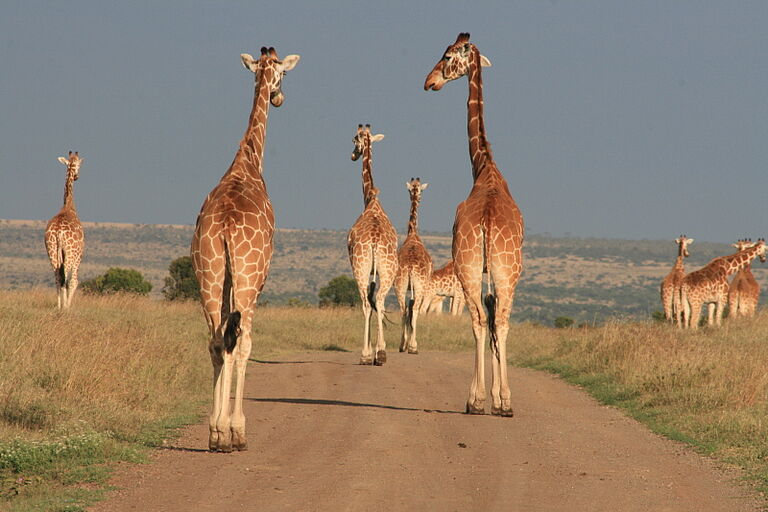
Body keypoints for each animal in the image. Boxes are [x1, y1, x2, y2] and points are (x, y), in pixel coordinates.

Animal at [44, 150, 84, 310]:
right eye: (79, 164)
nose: (77, 176)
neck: (68, 206)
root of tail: (58, 233)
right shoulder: (79, 254)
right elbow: (74, 281)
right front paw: (68, 307)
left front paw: (62, 306)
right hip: (70, 253)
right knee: (68, 279)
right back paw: (65, 307)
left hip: (52, 251)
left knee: (57, 277)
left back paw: (59, 306)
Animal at [189, 46, 300, 450]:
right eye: (284, 74)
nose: (279, 98)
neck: (248, 161)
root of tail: (224, 226)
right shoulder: (256, 281)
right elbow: (242, 344)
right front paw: (232, 429)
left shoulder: (222, 281)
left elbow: (222, 339)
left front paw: (218, 428)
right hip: (249, 280)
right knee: (243, 342)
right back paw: (236, 432)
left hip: (208, 276)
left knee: (216, 341)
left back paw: (214, 432)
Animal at [424, 32, 524, 416]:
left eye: (448, 55)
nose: (429, 81)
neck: (484, 168)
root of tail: (488, 220)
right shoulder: (491, 271)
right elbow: (496, 322)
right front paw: (497, 396)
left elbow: (486, 322)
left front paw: (488, 396)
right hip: (505, 270)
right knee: (499, 320)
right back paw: (503, 402)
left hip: (471, 267)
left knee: (481, 320)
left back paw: (476, 399)